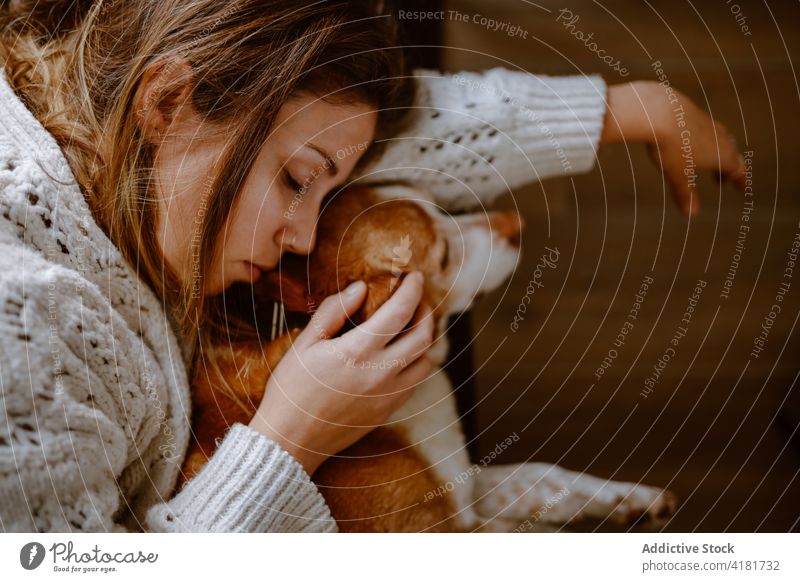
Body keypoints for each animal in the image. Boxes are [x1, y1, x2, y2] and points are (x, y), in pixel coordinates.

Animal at [181, 186, 676, 532]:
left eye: (440, 206)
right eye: (443, 254)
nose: (515, 221)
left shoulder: (464, 487)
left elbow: (542, 475)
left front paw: (630, 497)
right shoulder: (439, 527)